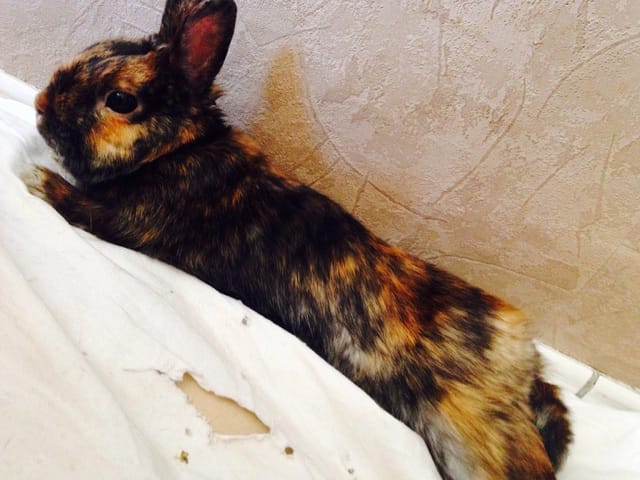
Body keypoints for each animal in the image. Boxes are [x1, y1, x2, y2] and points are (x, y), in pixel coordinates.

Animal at [23, 0, 571, 478]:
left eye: (120, 100)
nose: (40, 105)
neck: (177, 148)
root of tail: (520, 357)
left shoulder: (129, 220)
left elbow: (81, 206)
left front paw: (34, 178)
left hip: (470, 428)